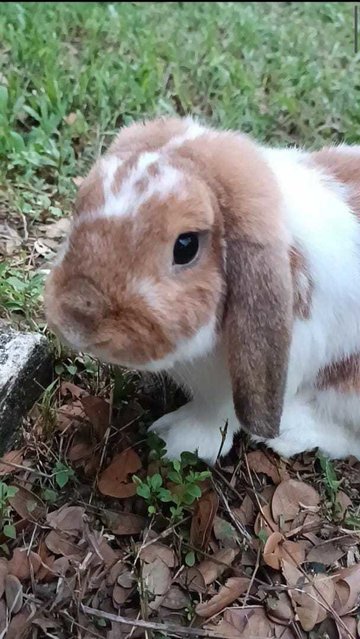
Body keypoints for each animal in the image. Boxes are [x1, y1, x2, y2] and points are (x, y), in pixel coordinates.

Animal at [44, 115, 360, 464]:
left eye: (186, 246)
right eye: (79, 206)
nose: (74, 317)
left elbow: (217, 413)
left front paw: (173, 441)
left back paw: (291, 433)